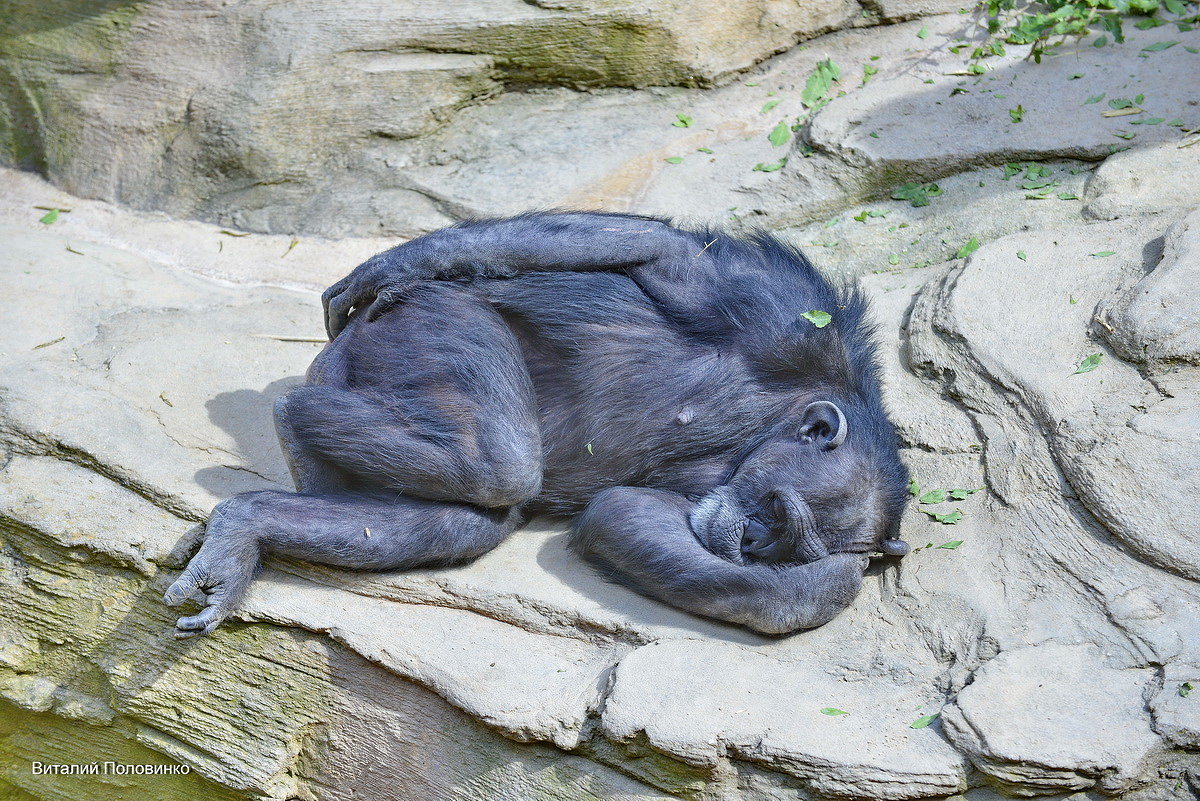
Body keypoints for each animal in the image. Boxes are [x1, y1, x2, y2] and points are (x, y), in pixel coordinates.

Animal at [166, 212, 907, 637]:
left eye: (785, 546)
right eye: (780, 515)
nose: (753, 542)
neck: (770, 424)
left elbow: (628, 516)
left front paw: (822, 577)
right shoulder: (777, 312)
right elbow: (659, 249)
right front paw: (387, 266)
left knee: (466, 516)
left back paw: (247, 527)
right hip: (427, 324)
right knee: (499, 461)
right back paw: (295, 411)